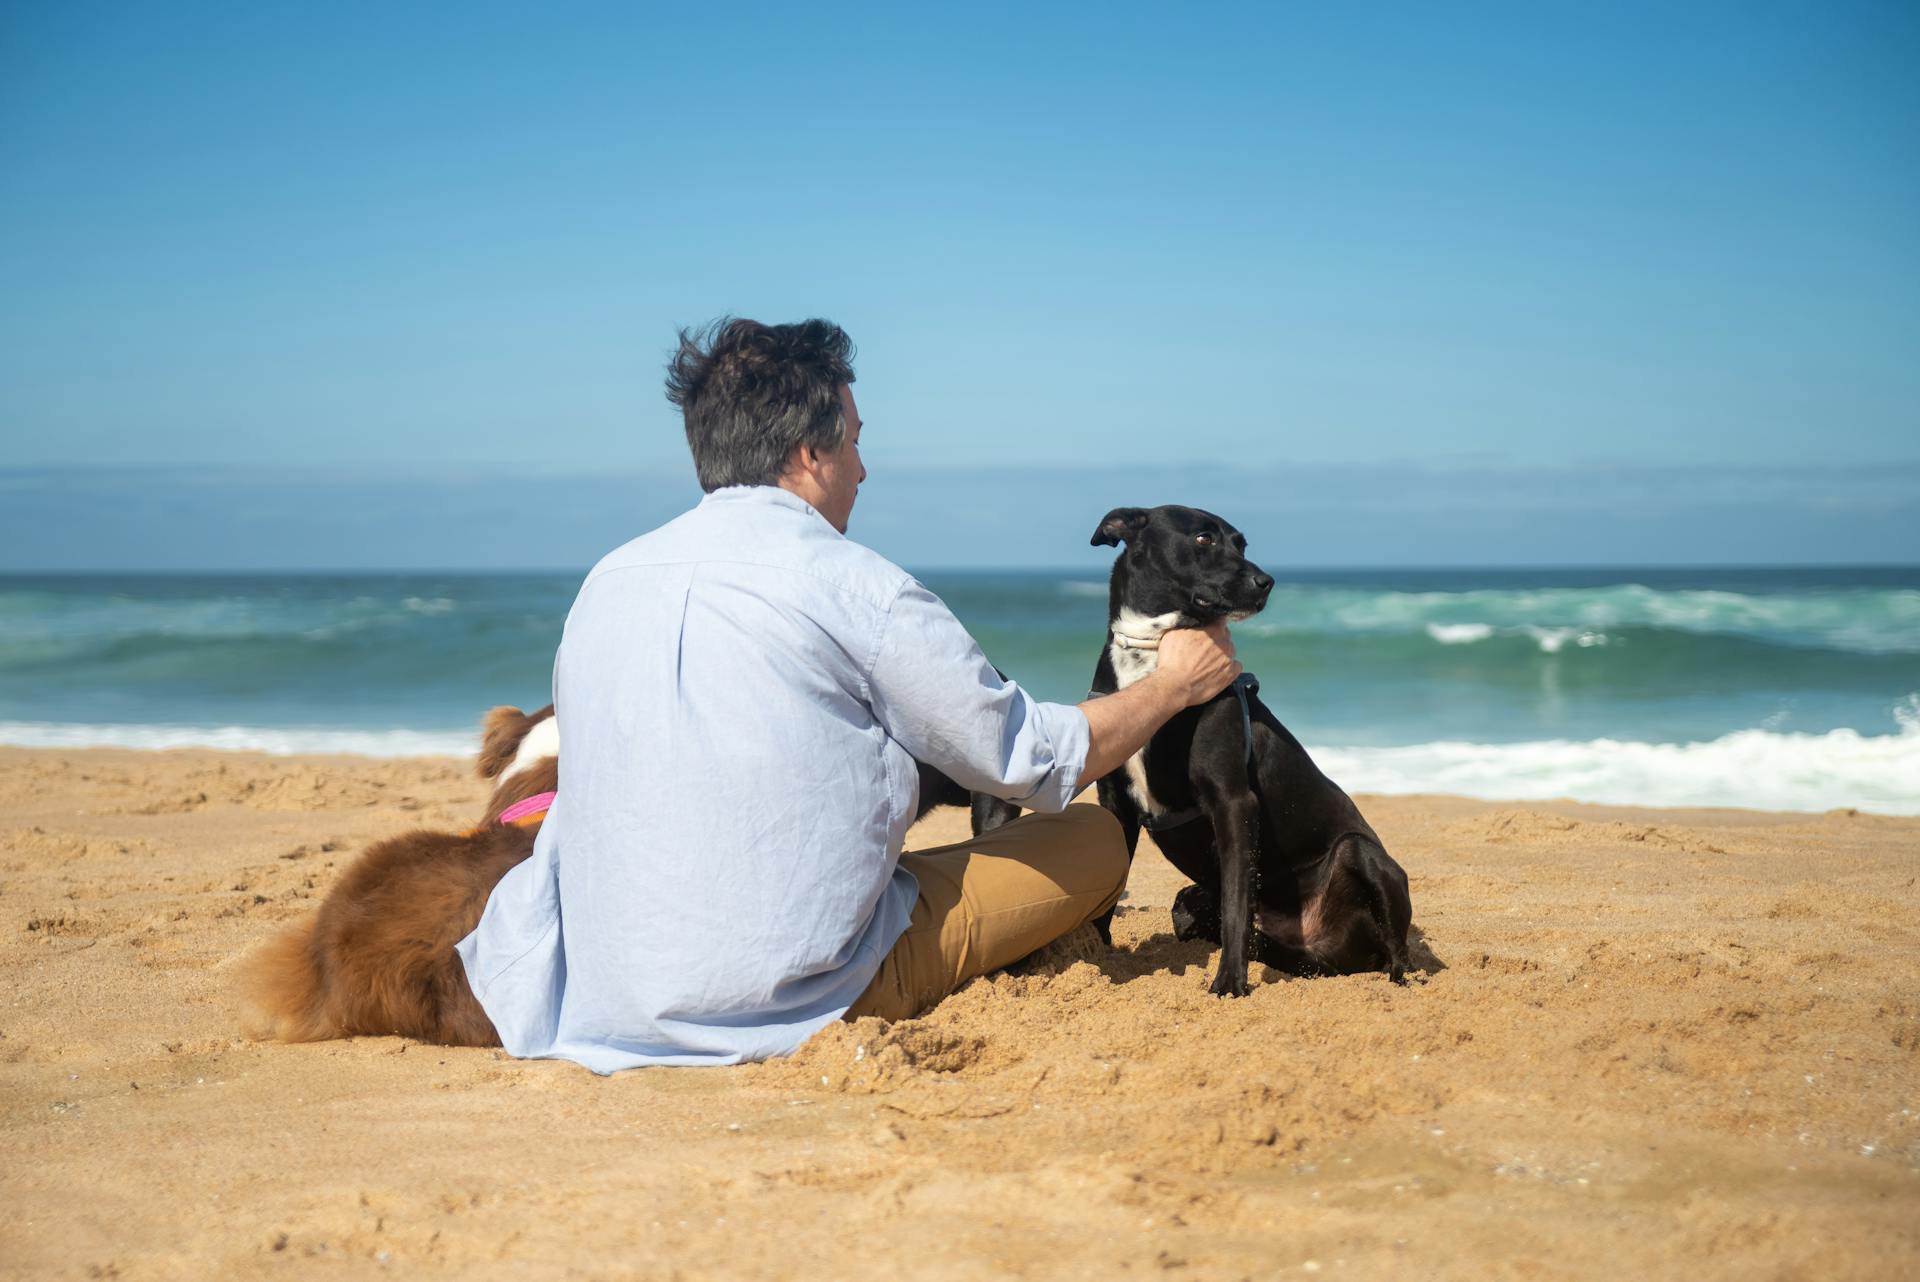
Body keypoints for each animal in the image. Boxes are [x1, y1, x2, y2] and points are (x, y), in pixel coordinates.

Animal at [1098, 506, 1413, 997]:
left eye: (1241, 543)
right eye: (1204, 539)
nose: (1267, 581)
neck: (1153, 655)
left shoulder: (1233, 802)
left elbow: (1235, 906)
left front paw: (1229, 982)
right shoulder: (1116, 807)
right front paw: (1087, 958)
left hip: (1360, 852)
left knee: (1398, 948)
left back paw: (1400, 976)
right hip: (1194, 901)